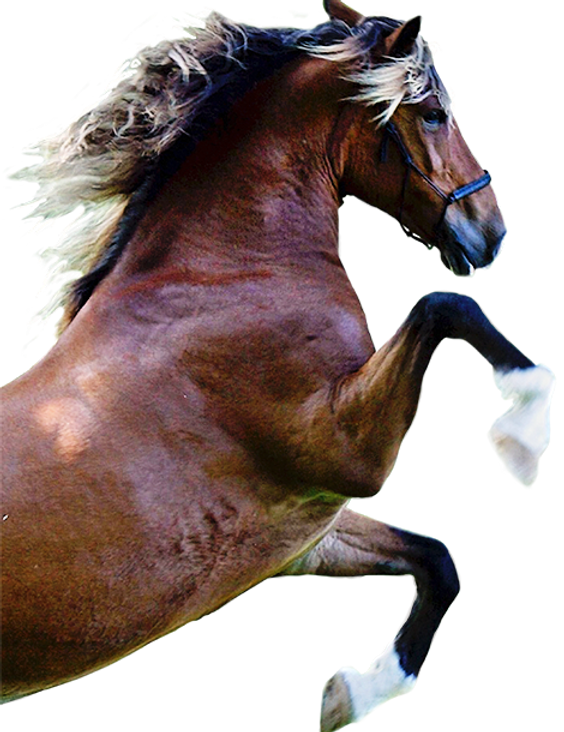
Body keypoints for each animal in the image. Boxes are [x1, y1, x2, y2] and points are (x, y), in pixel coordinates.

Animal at [1, 2, 556, 727]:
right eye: (433, 113)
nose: (492, 232)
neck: (226, 275)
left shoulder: (299, 533)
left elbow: (439, 562)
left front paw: (349, 695)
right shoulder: (343, 449)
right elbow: (444, 304)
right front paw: (524, 435)